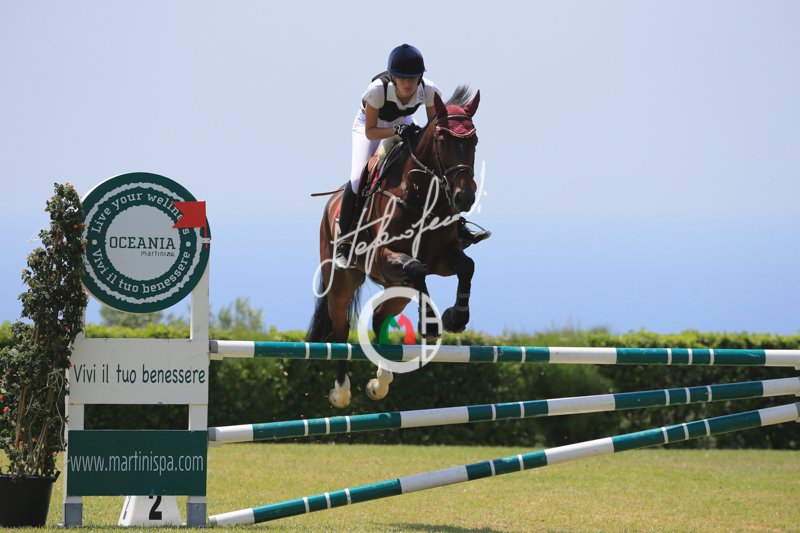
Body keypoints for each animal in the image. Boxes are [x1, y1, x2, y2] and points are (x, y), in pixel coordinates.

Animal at [308, 86, 481, 408]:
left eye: (474, 140)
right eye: (442, 140)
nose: (464, 197)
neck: (421, 196)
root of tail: (330, 205)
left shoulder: (442, 259)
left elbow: (466, 266)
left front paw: (456, 317)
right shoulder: (383, 257)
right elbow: (416, 267)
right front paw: (431, 325)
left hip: (396, 288)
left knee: (379, 318)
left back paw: (381, 381)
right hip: (342, 283)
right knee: (341, 330)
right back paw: (341, 392)